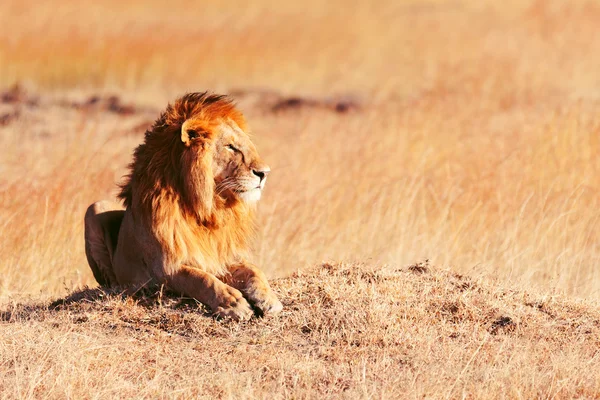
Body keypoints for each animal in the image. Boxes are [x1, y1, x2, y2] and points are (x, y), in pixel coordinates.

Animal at [83, 92, 284, 320]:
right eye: (230, 147)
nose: (264, 173)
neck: (207, 209)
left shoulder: (221, 257)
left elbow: (253, 270)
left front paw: (269, 298)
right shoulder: (163, 268)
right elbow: (199, 279)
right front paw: (233, 302)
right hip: (94, 208)